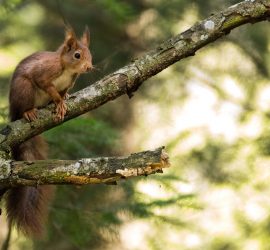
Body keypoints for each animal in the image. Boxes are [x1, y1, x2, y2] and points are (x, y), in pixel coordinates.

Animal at [6, 26, 92, 237]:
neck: (67, 69)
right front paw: (59, 101)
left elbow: (63, 91)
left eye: (90, 54)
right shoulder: (44, 73)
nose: (89, 67)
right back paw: (28, 112)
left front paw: (65, 98)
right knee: (24, 107)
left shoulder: (69, 82)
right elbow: (48, 86)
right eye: (77, 55)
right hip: (24, 90)